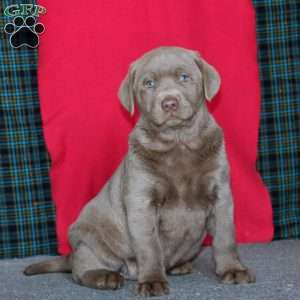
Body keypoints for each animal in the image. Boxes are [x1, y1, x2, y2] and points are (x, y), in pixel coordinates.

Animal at [25, 45, 255, 296]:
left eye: (184, 77)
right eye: (149, 83)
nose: (169, 103)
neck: (178, 142)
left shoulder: (220, 194)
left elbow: (225, 236)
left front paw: (233, 269)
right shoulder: (141, 202)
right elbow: (149, 245)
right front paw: (152, 281)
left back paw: (180, 266)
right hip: (89, 240)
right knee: (81, 269)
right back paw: (104, 277)